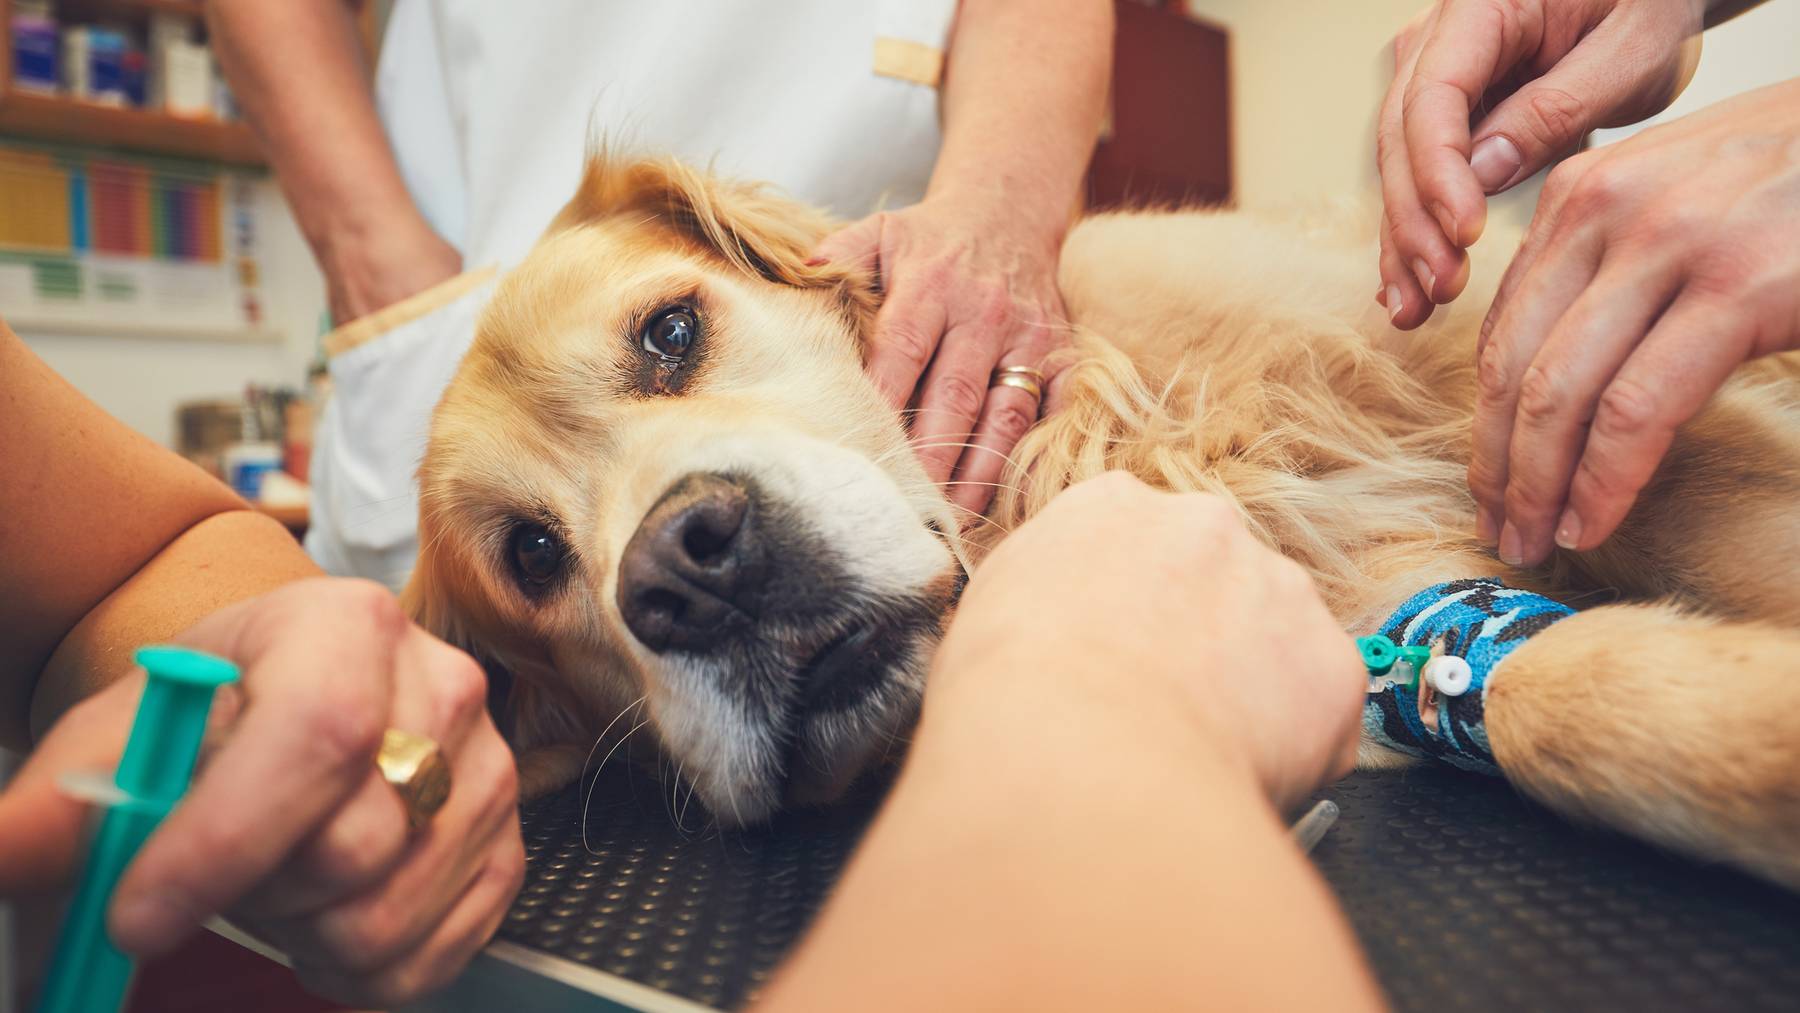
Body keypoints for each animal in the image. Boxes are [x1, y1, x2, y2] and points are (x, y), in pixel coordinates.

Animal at [405, 152, 1800, 888]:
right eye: (532, 556)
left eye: (670, 333)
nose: (691, 571)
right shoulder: (1379, 624)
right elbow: (1557, 696)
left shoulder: (1536, 389)